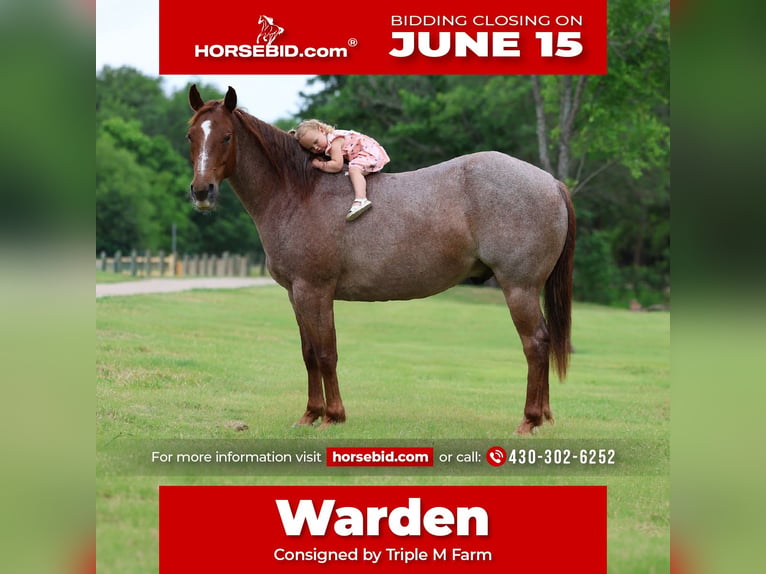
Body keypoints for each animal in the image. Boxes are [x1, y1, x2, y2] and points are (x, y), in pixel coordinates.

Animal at [186, 85, 576, 435]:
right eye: (191, 135)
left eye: (225, 137)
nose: (202, 191)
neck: (299, 192)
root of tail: (551, 182)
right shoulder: (295, 293)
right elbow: (309, 353)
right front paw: (309, 415)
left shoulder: (315, 290)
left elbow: (326, 353)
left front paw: (333, 416)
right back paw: (542, 417)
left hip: (519, 287)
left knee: (535, 344)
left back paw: (529, 420)